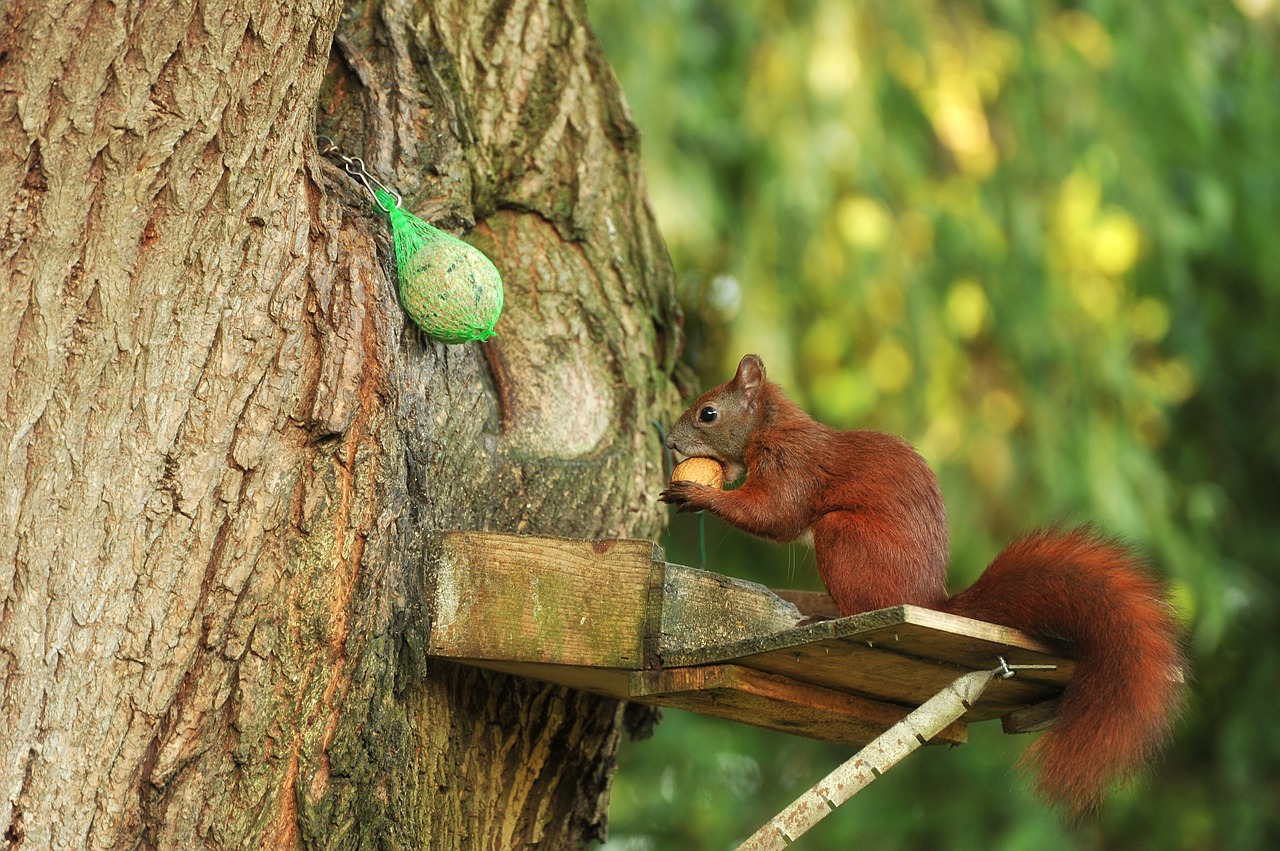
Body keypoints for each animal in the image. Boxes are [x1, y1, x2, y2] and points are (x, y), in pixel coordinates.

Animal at [665, 353, 1182, 819]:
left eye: (708, 412)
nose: (669, 441)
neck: (771, 428)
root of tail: (928, 600)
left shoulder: (793, 466)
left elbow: (775, 515)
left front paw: (700, 494)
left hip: (843, 538)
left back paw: (826, 616)